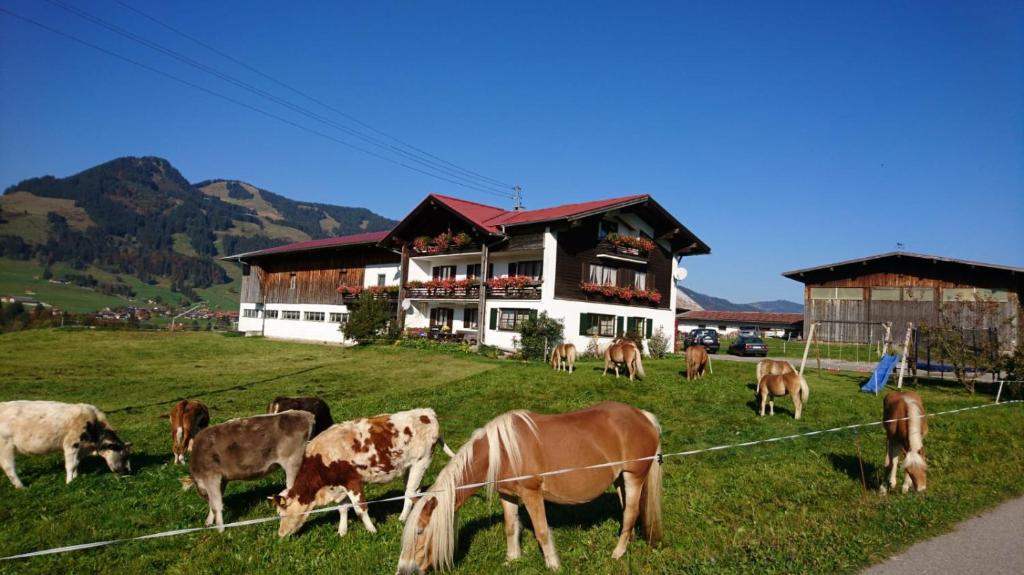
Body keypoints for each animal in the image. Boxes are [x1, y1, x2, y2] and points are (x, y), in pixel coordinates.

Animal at [0, 399, 132, 487]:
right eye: (124, 456)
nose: (128, 472)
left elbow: (76, 463)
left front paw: (76, 477)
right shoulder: (71, 443)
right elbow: (71, 465)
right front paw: (69, 482)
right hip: (5, 446)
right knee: (9, 467)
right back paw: (21, 486)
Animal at [182, 409, 313, 532]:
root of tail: (303, 414)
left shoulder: (211, 477)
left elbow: (216, 505)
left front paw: (220, 529)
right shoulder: (221, 480)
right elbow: (213, 502)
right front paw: (209, 522)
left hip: (292, 463)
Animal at [270, 405, 454, 536]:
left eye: (281, 514)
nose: (280, 534)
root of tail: (427, 412)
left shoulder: (353, 481)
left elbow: (360, 509)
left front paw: (372, 530)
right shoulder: (340, 485)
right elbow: (343, 508)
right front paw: (342, 531)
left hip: (422, 461)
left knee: (409, 492)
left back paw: (402, 518)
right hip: (409, 467)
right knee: (414, 490)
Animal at [391, 401, 663, 568]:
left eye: (420, 532)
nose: (404, 570)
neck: (502, 451)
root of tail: (643, 416)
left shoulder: (532, 494)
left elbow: (542, 531)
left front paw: (553, 565)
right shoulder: (508, 496)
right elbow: (511, 528)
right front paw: (512, 559)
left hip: (634, 476)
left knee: (631, 512)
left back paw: (617, 553)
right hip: (620, 480)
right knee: (627, 512)